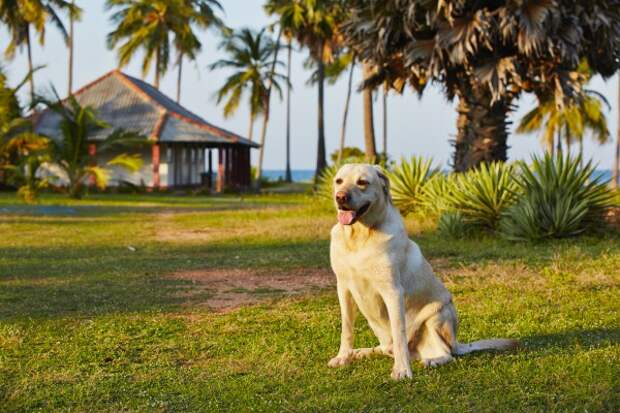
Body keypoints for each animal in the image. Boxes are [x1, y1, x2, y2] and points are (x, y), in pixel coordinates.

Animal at [330, 163, 520, 380]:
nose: (340, 197)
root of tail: (458, 343)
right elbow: (346, 328)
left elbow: (399, 332)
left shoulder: (393, 292)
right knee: (388, 348)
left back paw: (433, 360)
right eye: (339, 181)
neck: (359, 237)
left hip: (437, 314)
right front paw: (343, 356)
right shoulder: (343, 288)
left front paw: (402, 369)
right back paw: (362, 352)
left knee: (446, 353)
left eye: (362, 182)